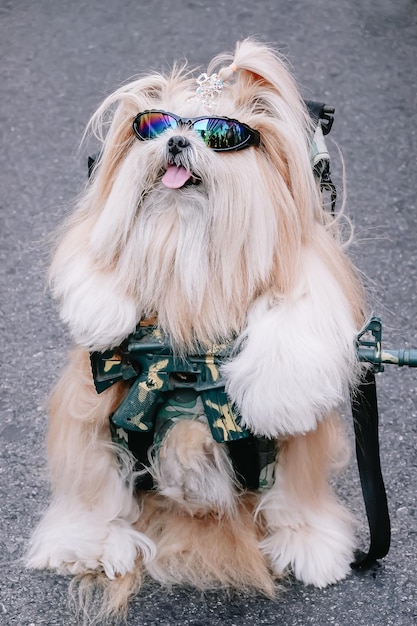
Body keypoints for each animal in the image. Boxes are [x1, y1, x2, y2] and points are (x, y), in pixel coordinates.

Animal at [26, 39, 364, 620]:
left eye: (223, 135)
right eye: (152, 125)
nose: (178, 140)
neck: (184, 254)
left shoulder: (301, 435)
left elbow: (299, 486)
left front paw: (312, 547)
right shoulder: (90, 406)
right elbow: (93, 484)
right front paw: (89, 542)